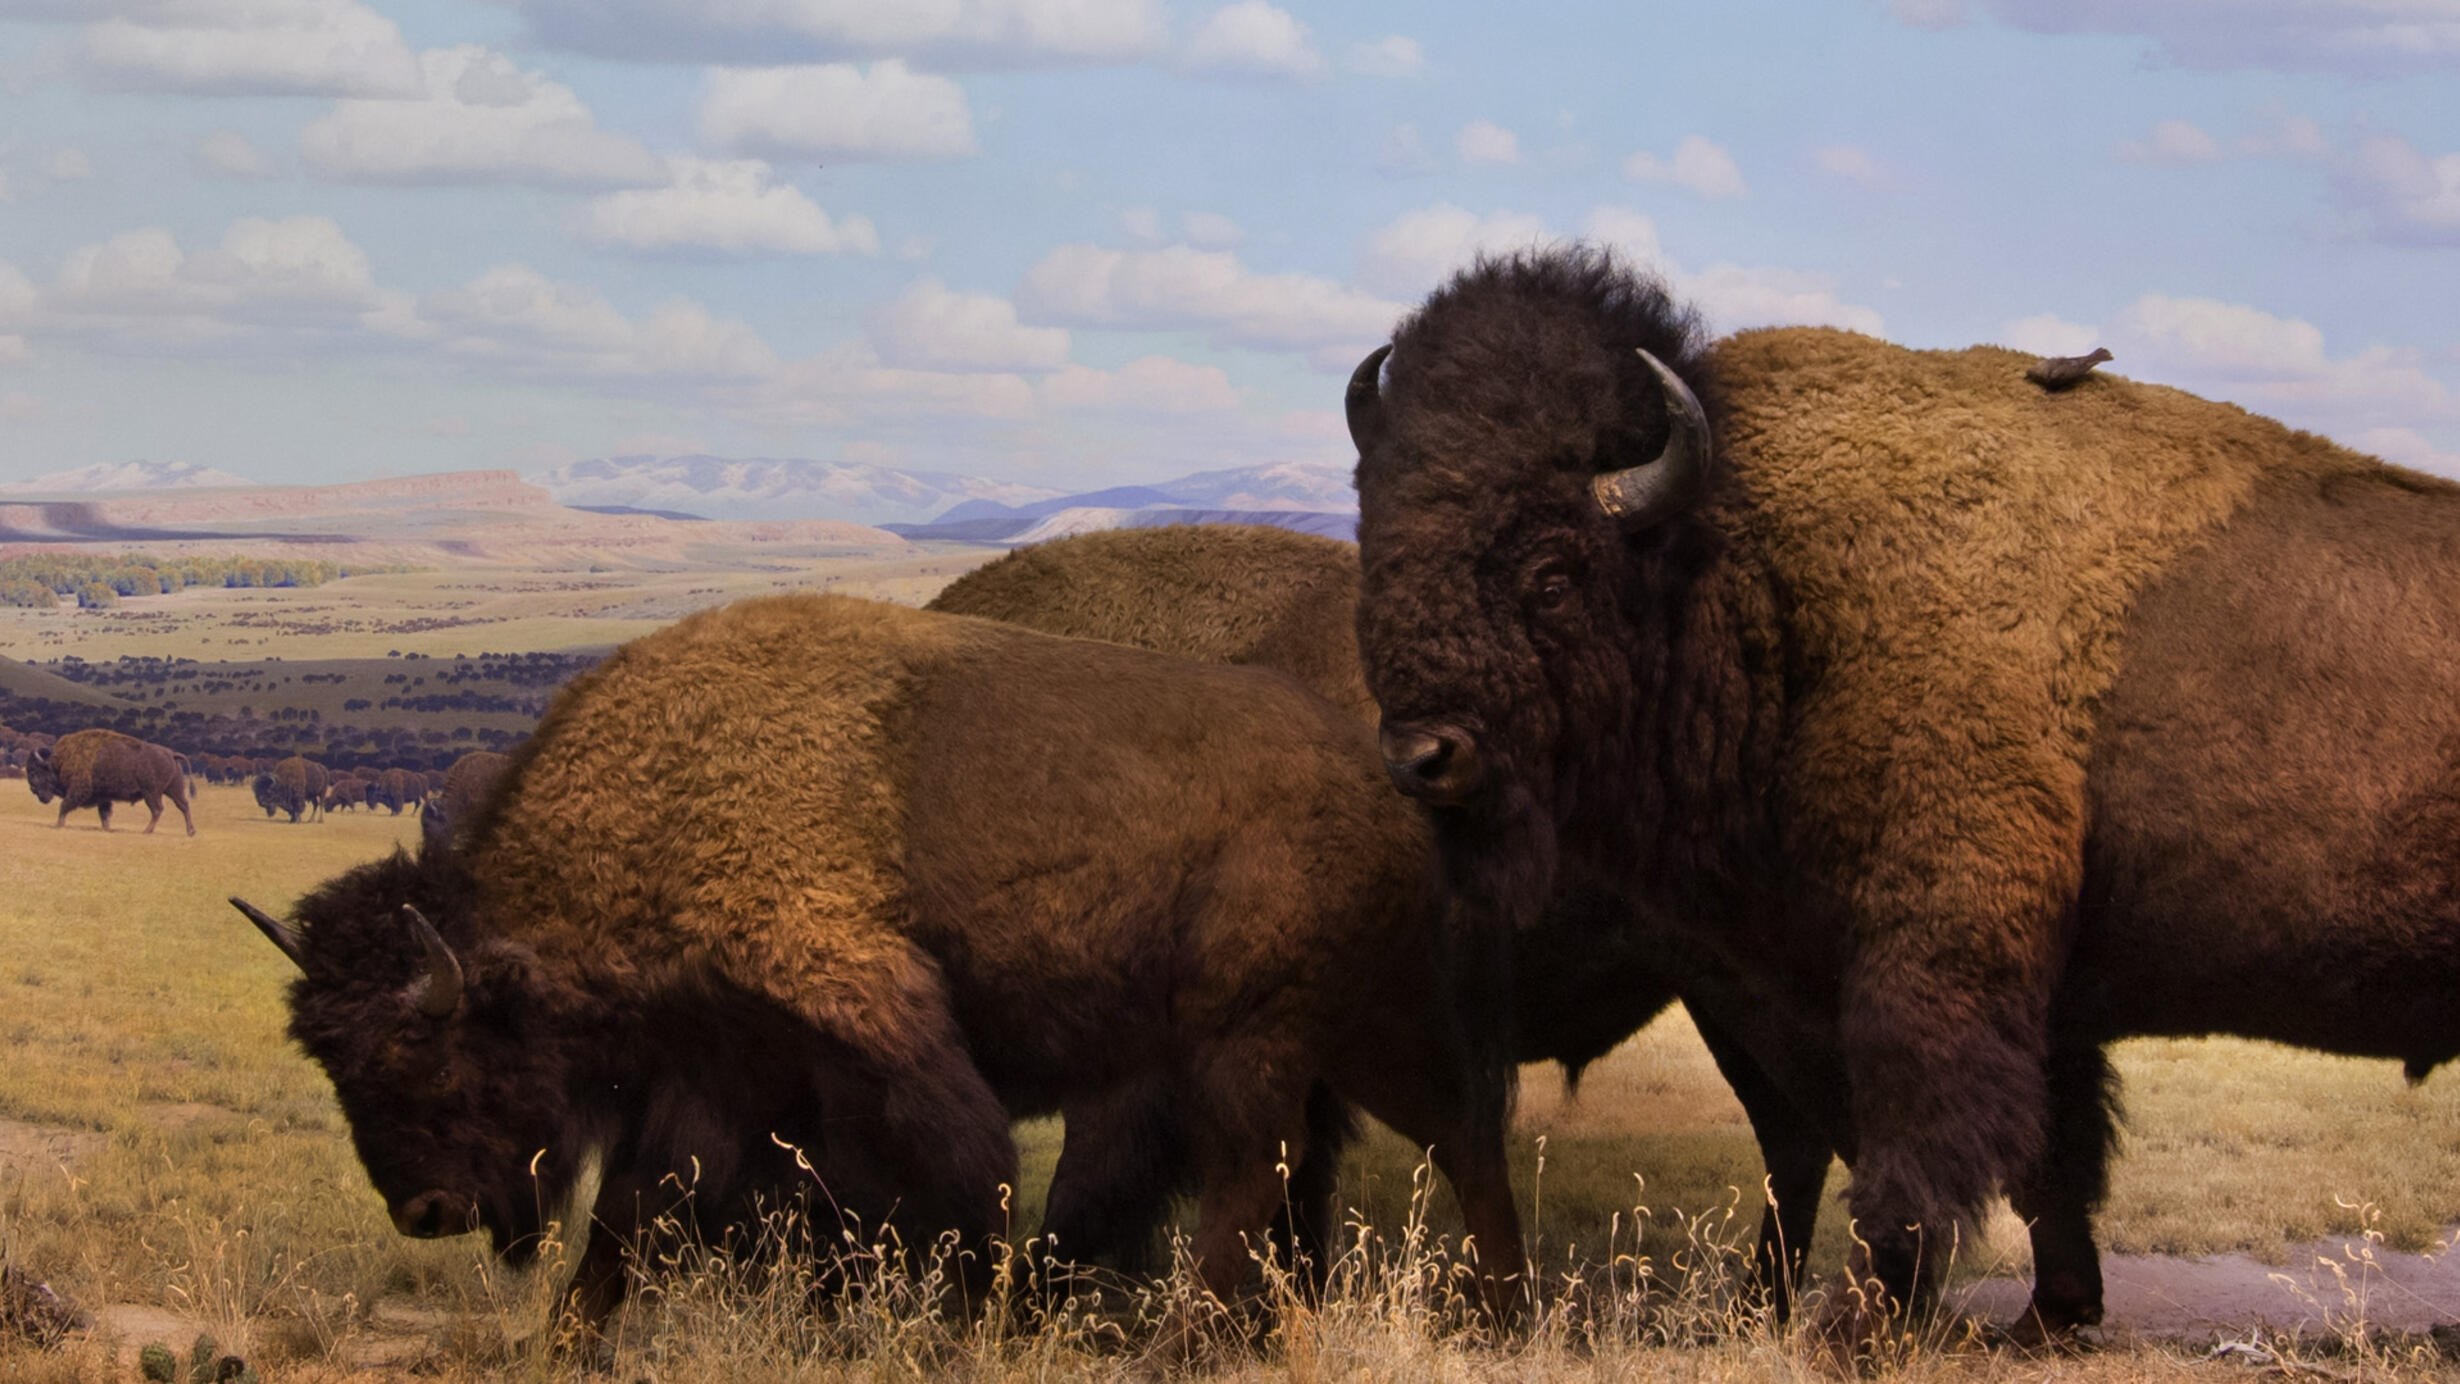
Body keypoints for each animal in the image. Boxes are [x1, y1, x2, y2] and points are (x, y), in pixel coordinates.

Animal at [24, 732, 194, 840]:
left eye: (34, 772)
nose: (33, 790)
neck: (59, 763)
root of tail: (171, 753)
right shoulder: (103, 798)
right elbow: (104, 815)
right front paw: (107, 829)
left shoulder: (77, 791)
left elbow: (64, 806)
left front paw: (58, 825)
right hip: (173, 789)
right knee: (184, 806)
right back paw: (191, 831)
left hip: (151, 793)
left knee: (157, 810)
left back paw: (146, 831)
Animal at [239, 602, 1525, 1327]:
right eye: (336, 1065)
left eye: (435, 1054)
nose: (426, 1212)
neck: (665, 803)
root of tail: (1381, 782)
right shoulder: (715, 1079)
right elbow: (632, 1224)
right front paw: (569, 1346)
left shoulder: (876, 1035)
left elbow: (964, 1185)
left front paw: (979, 1324)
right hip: (1350, 1033)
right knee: (1449, 1137)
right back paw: (1495, 1315)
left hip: (1245, 1042)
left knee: (1258, 1180)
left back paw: (1197, 1336)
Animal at [1348, 249, 2460, 1347]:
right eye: (1381, 543)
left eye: (1550, 571)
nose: (1422, 754)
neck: (1745, 559)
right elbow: (2048, 1152)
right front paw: (2049, 1314)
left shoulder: (1935, 948)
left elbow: (1917, 1139)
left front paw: (1858, 1327)